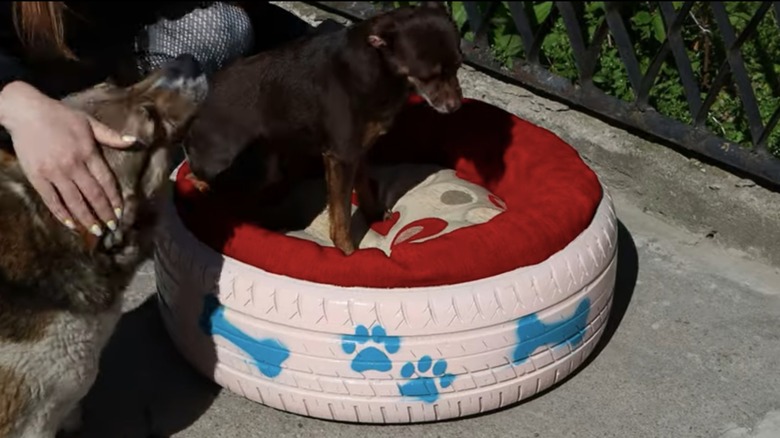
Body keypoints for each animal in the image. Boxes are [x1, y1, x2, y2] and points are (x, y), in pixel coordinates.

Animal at [183, 1, 464, 255]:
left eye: (459, 65)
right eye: (428, 76)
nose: (456, 107)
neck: (381, 72)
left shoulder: (357, 151)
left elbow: (365, 188)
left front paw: (373, 215)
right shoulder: (340, 157)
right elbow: (341, 218)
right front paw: (348, 253)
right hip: (229, 159)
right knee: (197, 177)